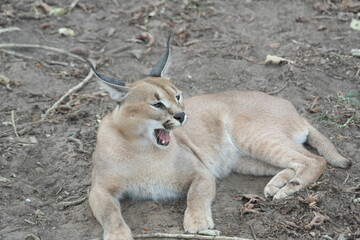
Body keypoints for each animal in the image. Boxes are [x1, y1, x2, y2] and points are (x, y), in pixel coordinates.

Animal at [86, 36, 348, 240]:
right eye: (157, 104)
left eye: (178, 96)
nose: (182, 115)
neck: (141, 148)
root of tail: (292, 107)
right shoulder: (99, 189)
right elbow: (110, 213)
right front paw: (117, 234)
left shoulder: (201, 172)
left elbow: (196, 195)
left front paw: (198, 221)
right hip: (246, 160)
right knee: (295, 161)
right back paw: (277, 185)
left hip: (253, 136)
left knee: (314, 160)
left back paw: (288, 189)